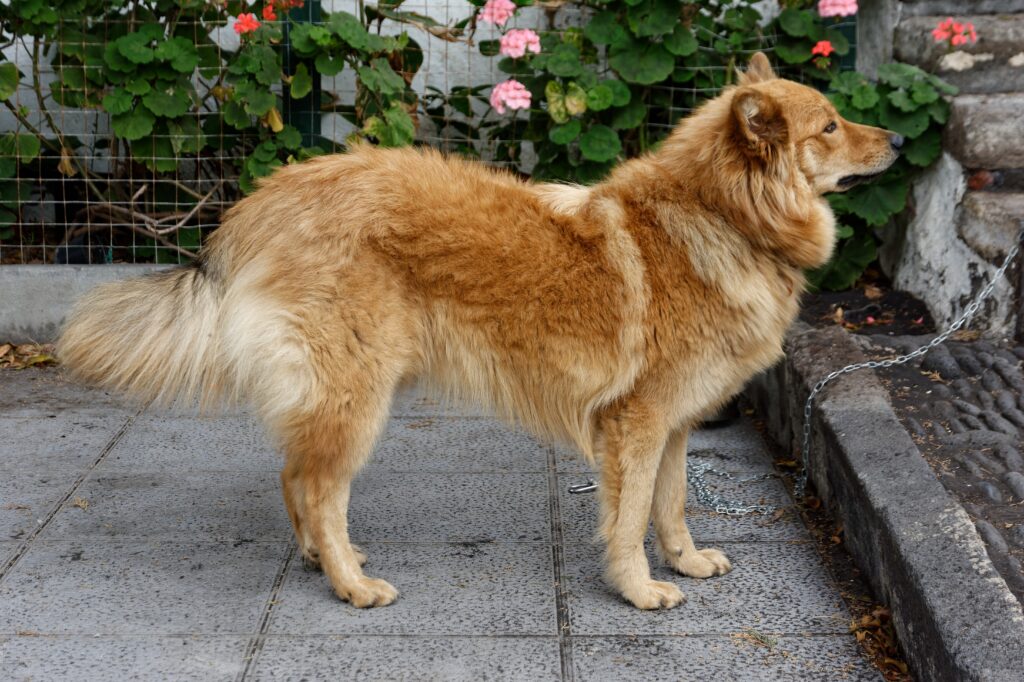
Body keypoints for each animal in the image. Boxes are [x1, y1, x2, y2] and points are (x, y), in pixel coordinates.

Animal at [59, 51, 901, 606]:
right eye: (830, 126)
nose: (896, 140)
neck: (722, 216)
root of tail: (262, 200)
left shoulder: (673, 427)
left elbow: (671, 507)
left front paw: (684, 563)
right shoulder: (634, 426)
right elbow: (630, 519)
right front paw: (638, 590)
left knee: (294, 474)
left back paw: (323, 560)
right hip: (356, 398)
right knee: (319, 484)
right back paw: (352, 583)